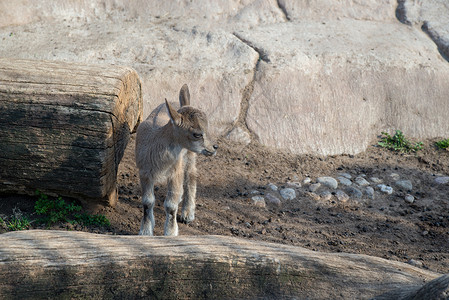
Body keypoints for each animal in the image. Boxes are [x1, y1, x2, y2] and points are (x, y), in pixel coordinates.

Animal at [134, 84, 216, 237]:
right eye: (197, 134)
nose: (214, 147)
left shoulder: (175, 171)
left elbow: (171, 205)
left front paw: (170, 233)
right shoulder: (144, 172)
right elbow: (147, 201)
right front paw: (146, 231)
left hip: (189, 155)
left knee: (191, 174)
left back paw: (187, 213)